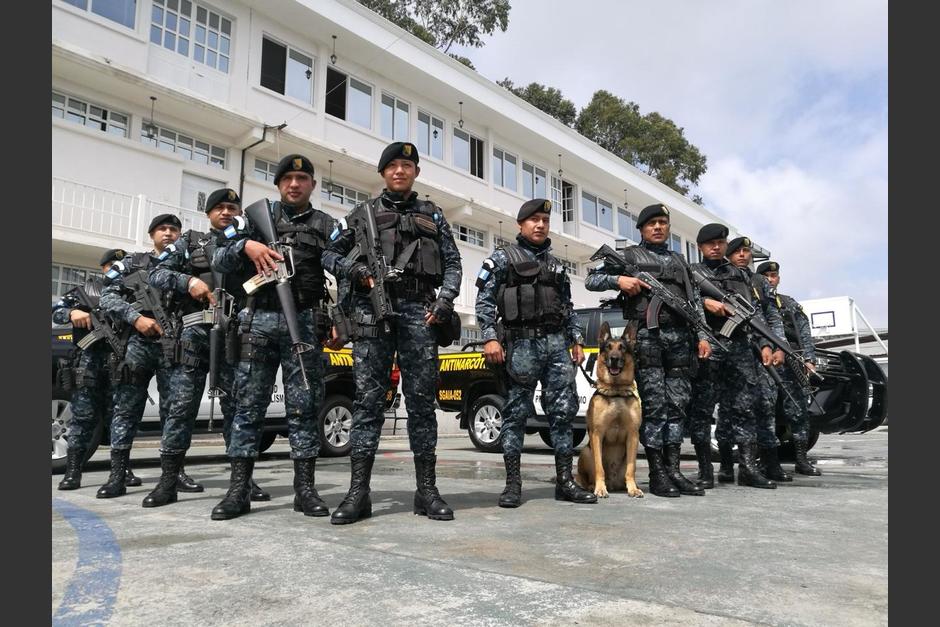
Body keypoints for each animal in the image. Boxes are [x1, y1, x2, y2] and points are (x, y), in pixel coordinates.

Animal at [576, 324, 644, 500]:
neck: (616, 391)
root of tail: (613, 483)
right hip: (586, 452)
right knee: (585, 478)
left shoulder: (633, 435)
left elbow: (631, 469)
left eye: (622, 348)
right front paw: (600, 489)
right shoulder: (597, 434)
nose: (614, 358)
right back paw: (591, 486)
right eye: (608, 347)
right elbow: (599, 467)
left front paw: (633, 489)